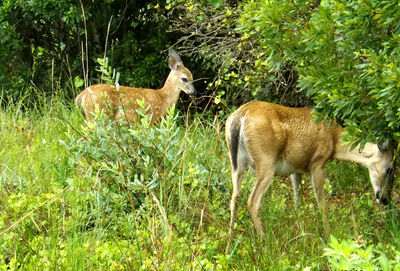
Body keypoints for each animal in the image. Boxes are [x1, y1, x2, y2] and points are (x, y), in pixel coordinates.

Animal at [227, 101, 396, 240]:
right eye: (390, 169)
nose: (385, 199)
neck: (334, 139)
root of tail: (240, 117)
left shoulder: (295, 168)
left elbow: (297, 201)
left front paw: (300, 232)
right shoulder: (317, 162)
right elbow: (321, 203)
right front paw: (327, 235)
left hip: (236, 164)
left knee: (234, 198)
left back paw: (230, 245)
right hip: (266, 161)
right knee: (253, 201)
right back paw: (265, 243)